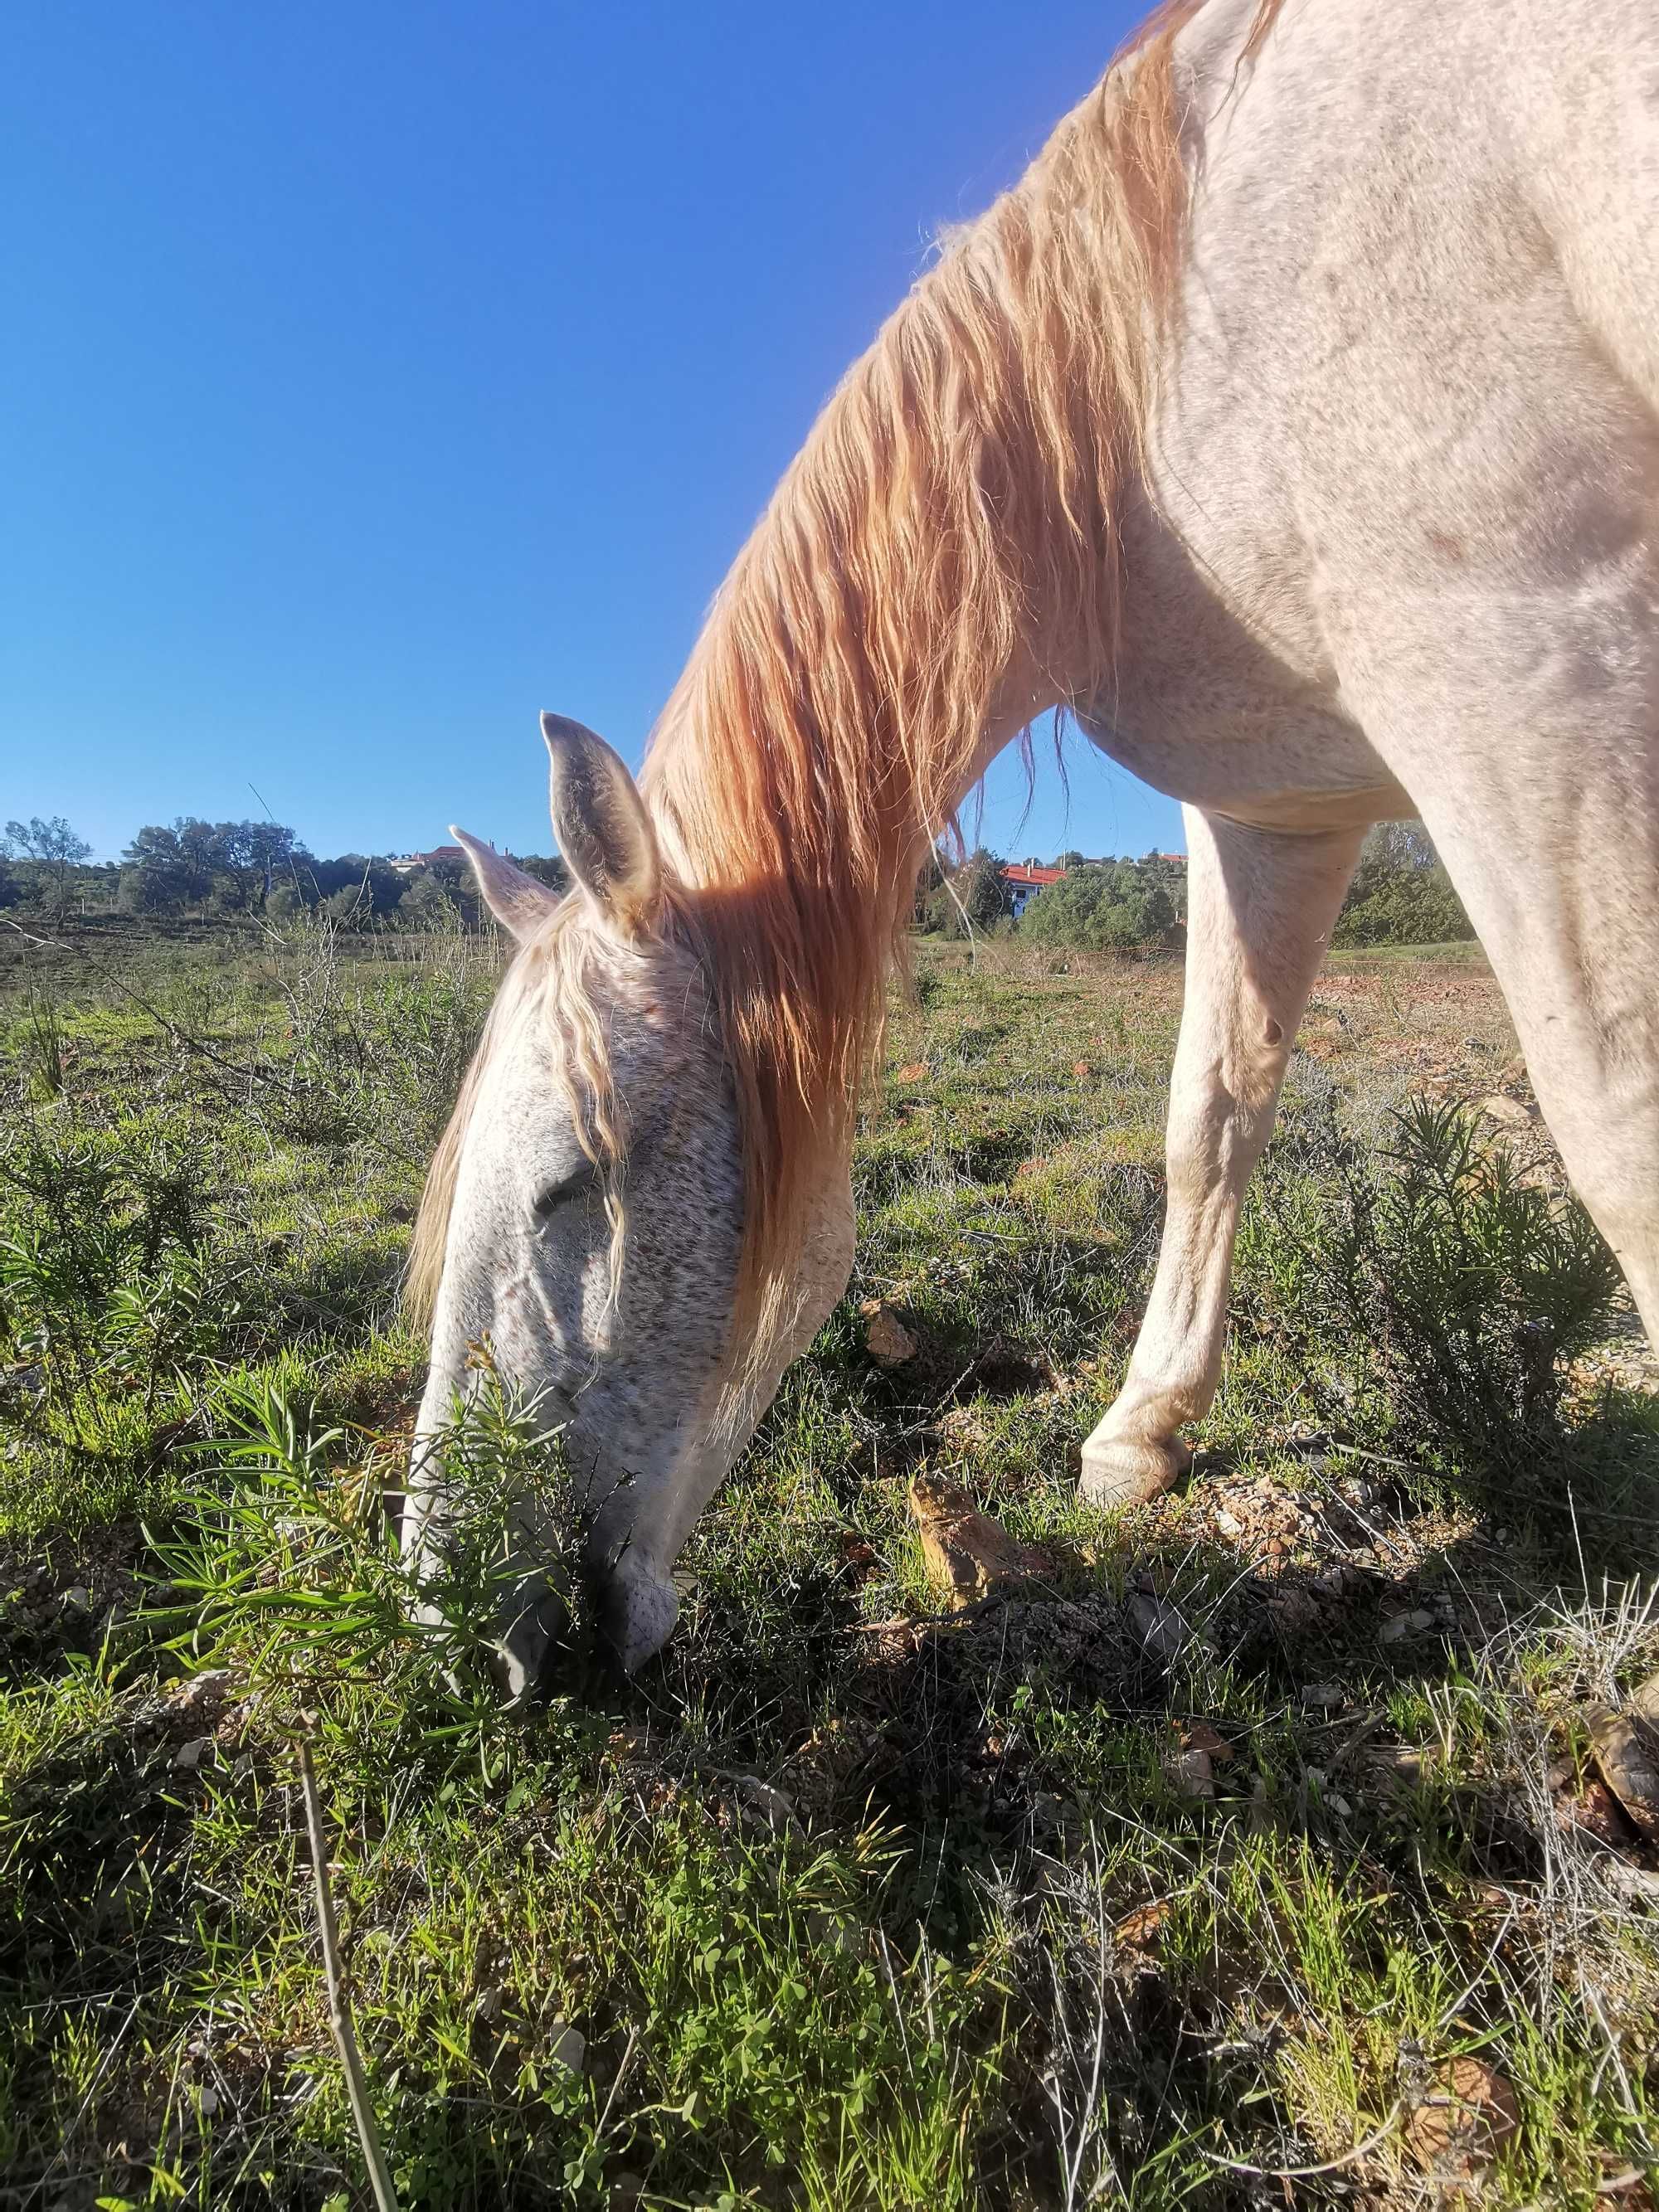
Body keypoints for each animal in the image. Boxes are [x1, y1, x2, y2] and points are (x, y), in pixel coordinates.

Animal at [409, 0, 1659, 1672]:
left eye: (570, 1187)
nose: (449, 1610)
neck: (1162, 344)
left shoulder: (1527, 675)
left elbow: (1620, 1134)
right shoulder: (1274, 811)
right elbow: (1211, 1116)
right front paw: (1142, 1433)